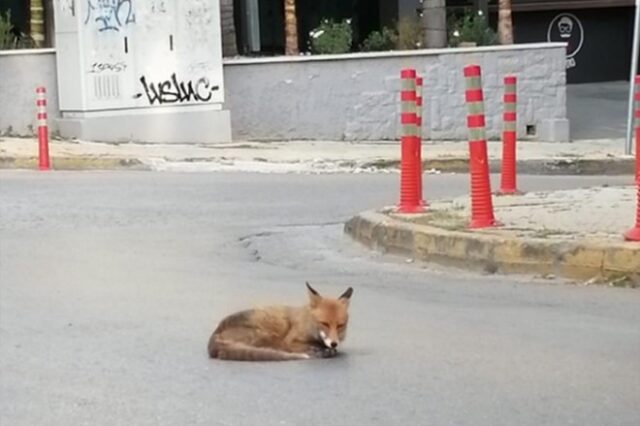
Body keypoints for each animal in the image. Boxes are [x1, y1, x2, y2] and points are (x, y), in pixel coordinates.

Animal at [208, 282, 352, 362]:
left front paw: (327, 349)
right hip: (270, 328)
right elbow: (307, 347)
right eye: (325, 324)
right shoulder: (290, 341)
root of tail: (216, 332)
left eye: (340, 325)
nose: (334, 343)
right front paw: (321, 351)